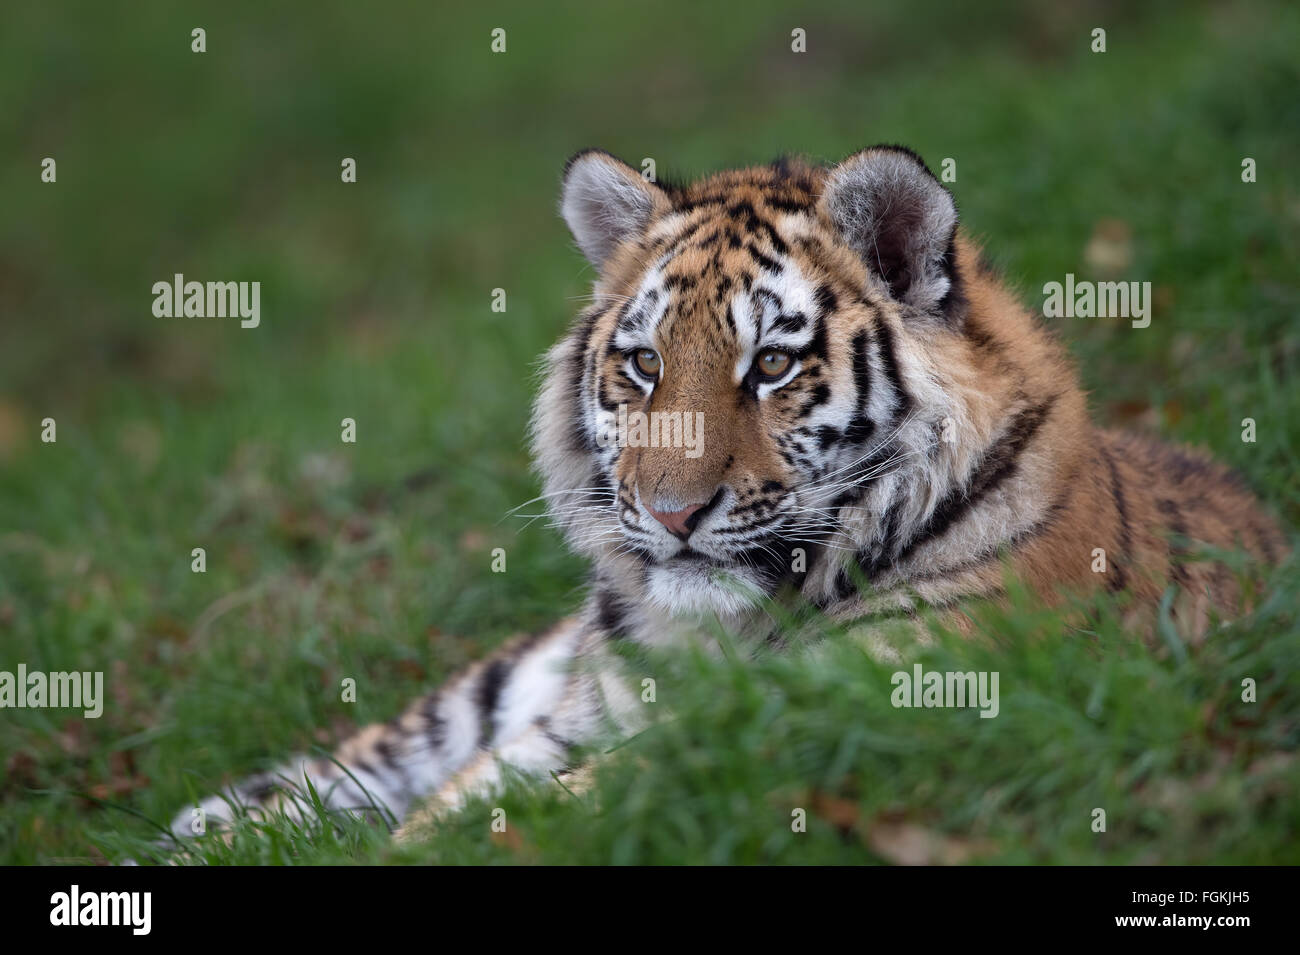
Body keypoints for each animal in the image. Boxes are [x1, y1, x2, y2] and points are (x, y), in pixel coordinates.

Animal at [159, 145, 1279, 847]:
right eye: (644, 365)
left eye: (771, 365)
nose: (668, 515)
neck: (726, 634)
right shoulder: (582, 717)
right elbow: (453, 800)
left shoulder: (846, 700)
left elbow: (510, 818)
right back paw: (204, 830)